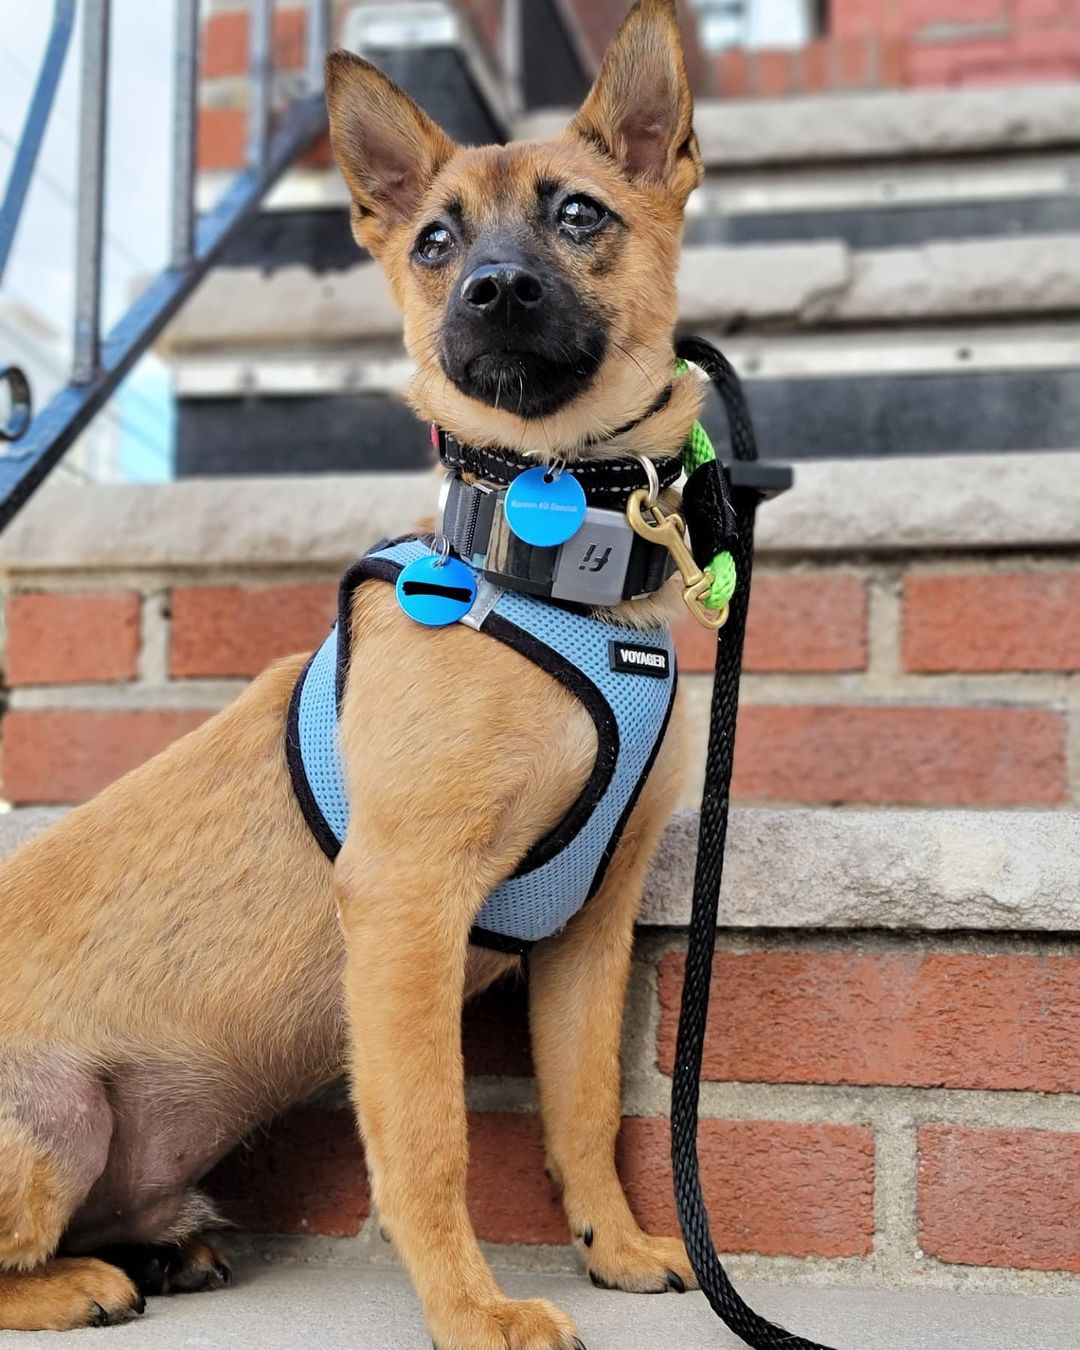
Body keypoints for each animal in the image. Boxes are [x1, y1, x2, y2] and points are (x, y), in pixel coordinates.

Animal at [0, 5, 707, 1344]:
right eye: (434, 240)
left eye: (579, 214)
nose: (492, 289)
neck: (547, 573)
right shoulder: (405, 906)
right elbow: (427, 1141)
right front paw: (473, 1312)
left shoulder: (591, 932)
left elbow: (584, 1105)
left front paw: (618, 1243)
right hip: (50, 1120)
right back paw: (85, 1281)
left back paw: (164, 1248)